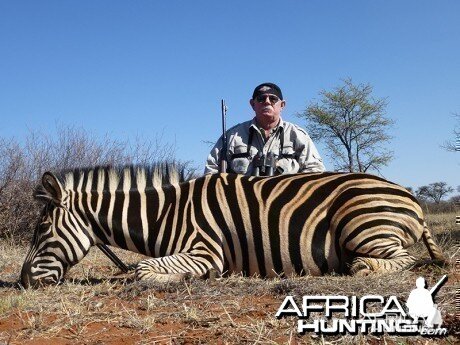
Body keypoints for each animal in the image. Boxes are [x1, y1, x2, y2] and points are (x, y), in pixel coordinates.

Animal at [20, 163, 446, 286]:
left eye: (42, 232)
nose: (23, 281)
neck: (166, 214)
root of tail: (411, 196)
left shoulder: (206, 251)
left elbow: (142, 270)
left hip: (360, 224)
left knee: (406, 259)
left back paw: (359, 267)